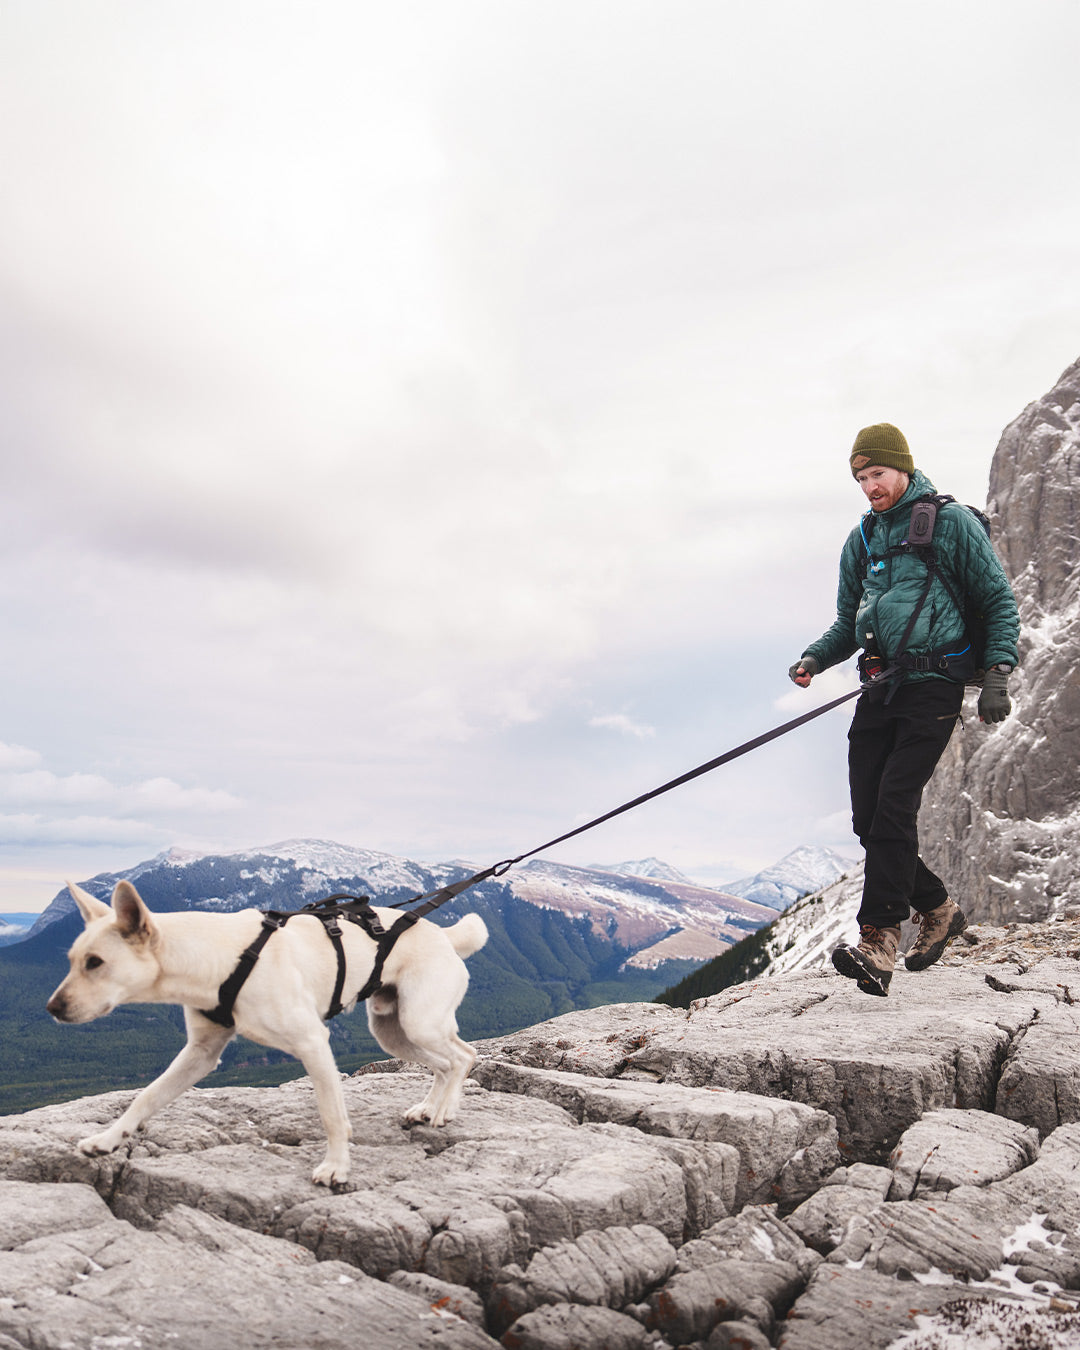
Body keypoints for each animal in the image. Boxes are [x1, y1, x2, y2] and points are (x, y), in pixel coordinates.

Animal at [46, 874, 488, 1182]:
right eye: (71, 960)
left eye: (95, 962)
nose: (52, 1008)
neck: (219, 957)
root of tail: (444, 935)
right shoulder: (201, 1054)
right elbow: (146, 1097)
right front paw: (108, 1139)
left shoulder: (313, 1043)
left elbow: (332, 1115)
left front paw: (336, 1167)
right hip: (392, 1030)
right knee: (446, 1062)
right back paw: (429, 1108)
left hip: (419, 1022)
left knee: (462, 1055)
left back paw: (444, 1110)